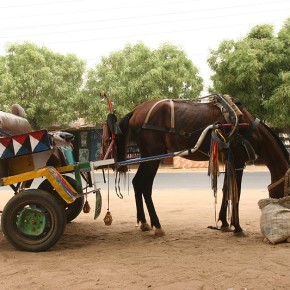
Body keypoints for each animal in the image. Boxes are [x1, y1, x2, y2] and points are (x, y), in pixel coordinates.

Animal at [116, 94, 290, 237]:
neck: (248, 128)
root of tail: (135, 110)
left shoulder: (229, 161)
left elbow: (226, 190)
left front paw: (224, 223)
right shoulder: (238, 162)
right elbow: (236, 193)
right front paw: (238, 227)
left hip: (150, 156)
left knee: (137, 183)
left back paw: (144, 222)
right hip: (153, 155)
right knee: (144, 185)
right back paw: (157, 225)